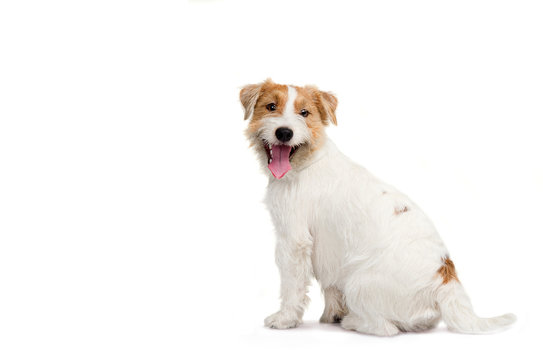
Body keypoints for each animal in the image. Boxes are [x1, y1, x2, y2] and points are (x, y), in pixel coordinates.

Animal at [240, 78, 516, 334]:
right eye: (271, 106)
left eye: (304, 112)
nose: (284, 133)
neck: (306, 163)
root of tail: (447, 280)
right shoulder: (327, 252)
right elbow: (330, 287)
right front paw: (332, 314)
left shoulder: (293, 241)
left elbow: (292, 287)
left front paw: (284, 319)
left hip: (358, 281)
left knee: (386, 328)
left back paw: (353, 322)